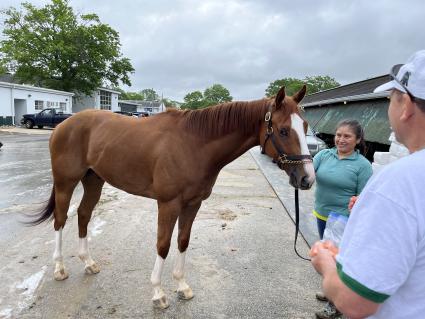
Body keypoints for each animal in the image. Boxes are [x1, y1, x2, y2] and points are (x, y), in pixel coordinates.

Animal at [29, 84, 314, 308]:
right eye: (283, 130)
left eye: (305, 126)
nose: (307, 179)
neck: (194, 144)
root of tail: (64, 124)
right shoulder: (168, 204)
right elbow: (163, 244)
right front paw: (158, 293)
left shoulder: (193, 204)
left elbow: (183, 241)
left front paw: (182, 286)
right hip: (65, 182)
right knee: (60, 219)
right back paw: (59, 268)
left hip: (93, 180)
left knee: (84, 215)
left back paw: (88, 263)